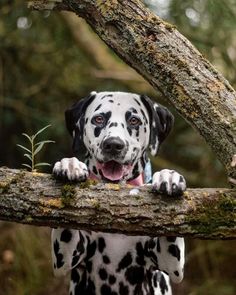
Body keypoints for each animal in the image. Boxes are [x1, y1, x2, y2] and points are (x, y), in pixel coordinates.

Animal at [51, 92, 186, 295]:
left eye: (134, 120)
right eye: (99, 119)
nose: (113, 145)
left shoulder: (171, 263)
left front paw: (168, 176)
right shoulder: (65, 256)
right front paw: (70, 165)